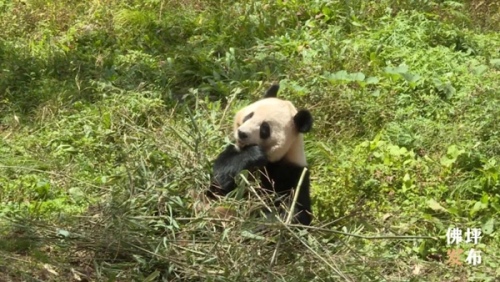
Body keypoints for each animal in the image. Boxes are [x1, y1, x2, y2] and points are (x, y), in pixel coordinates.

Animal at [206, 83, 312, 225]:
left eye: (264, 129)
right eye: (249, 115)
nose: (242, 133)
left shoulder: (294, 173)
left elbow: (296, 211)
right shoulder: (233, 152)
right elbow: (220, 183)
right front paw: (254, 154)